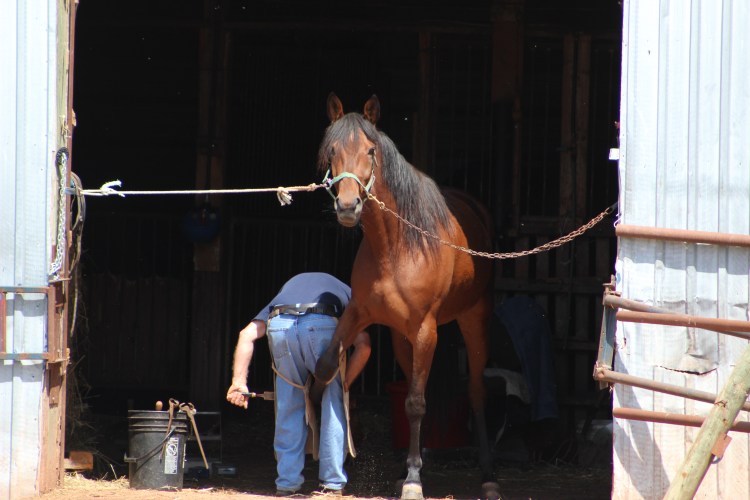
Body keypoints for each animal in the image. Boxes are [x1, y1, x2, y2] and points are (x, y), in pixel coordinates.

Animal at [313, 93, 502, 500]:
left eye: (370, 151)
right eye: (333, 151)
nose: (348, 207)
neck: (396, 245)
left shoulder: (426, 330)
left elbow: (416, 403)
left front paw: (415, 479)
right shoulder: (359, 315)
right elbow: (325, 367)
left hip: (473, 320)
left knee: (477, 393)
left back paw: (488, 475)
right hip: (402, 339)